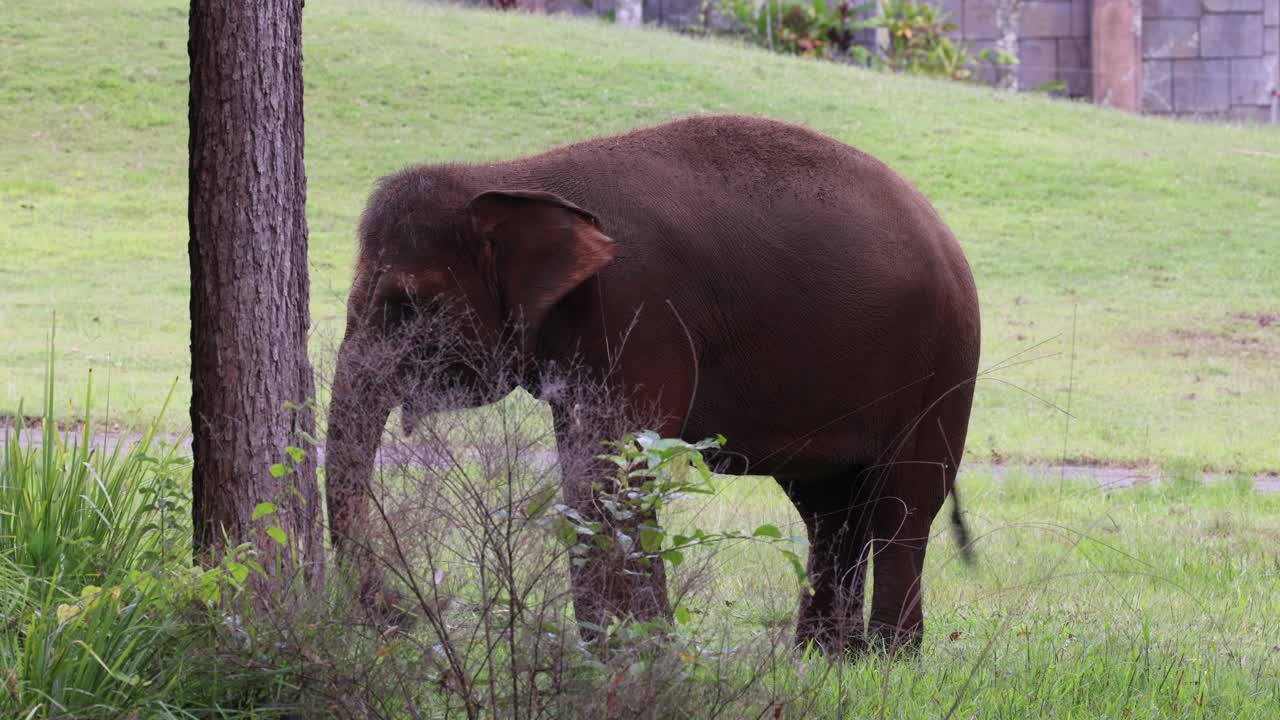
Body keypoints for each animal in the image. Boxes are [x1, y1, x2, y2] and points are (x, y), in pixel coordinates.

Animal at [324, 114, 980, 656]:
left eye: (408, 305)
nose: (403, 616)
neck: (513, 175)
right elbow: (589, 467)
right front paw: (618, 654)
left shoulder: (638, 305)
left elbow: (613, 472)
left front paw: (639, 656)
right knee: (829, 510)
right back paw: (825, 659)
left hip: (944, 364)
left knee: (903, 504)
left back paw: (890, 659)